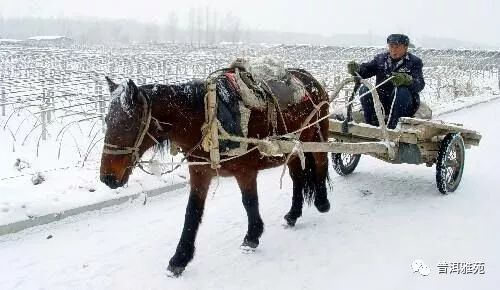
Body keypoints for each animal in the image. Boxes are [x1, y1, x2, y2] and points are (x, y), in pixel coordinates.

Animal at [99, 68, 330, 276]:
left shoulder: (245, 171)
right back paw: (293, 214)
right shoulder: (200, 172)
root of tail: (310, 78)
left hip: (317, 135)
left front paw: (252, 236)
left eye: (127, 125)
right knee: (297, 177)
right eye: (107, 121)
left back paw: (322, 202)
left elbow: (249, 202)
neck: (208, 117)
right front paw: (180, 258)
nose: (107, 178)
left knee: (321, 163)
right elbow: (192, 211)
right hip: (294, 148)